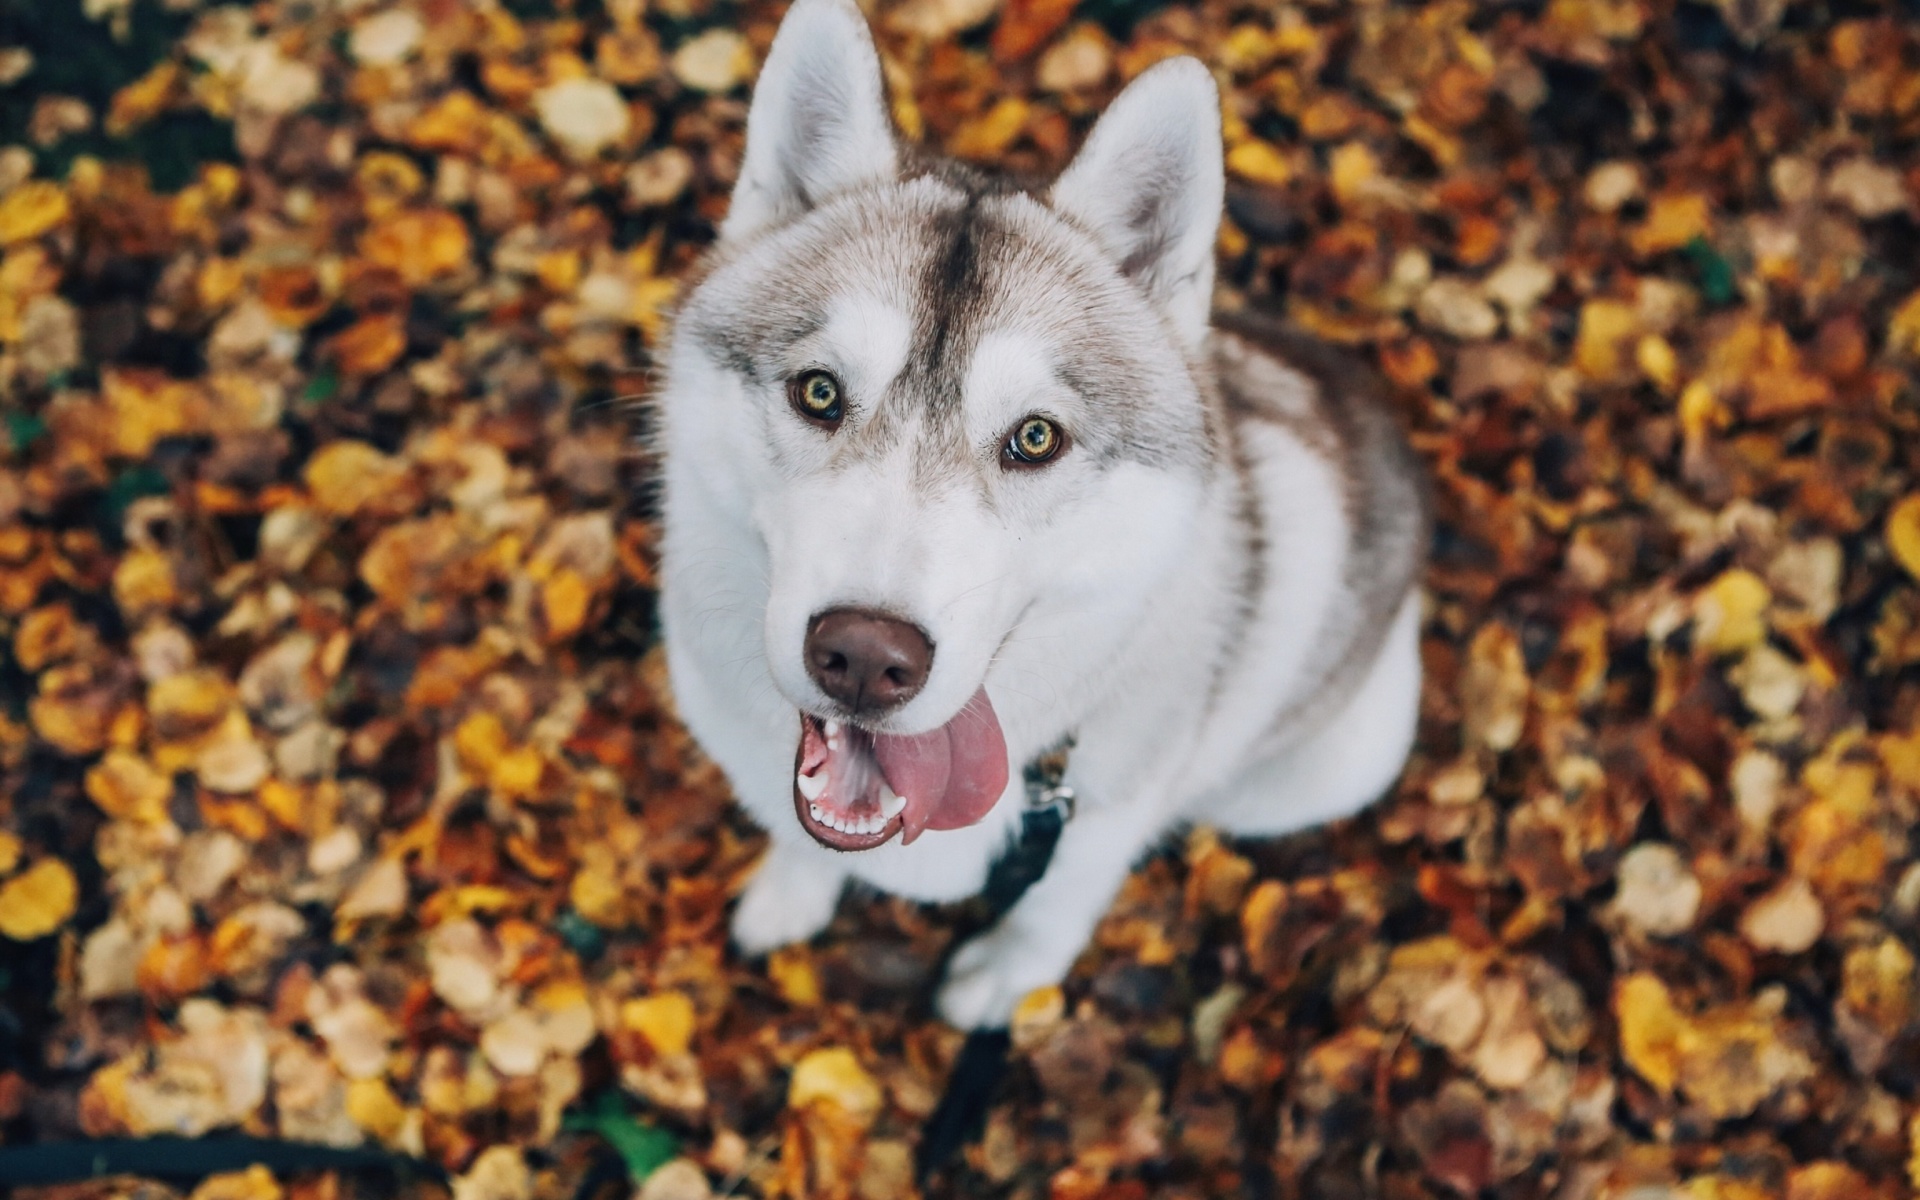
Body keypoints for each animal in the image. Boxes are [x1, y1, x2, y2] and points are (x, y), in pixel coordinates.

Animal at [660, 0, 1428, 1029]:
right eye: (819, 392)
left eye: (1034, 438)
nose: (864, 655)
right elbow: (799, 837)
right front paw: (790, 896)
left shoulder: (1104, 816)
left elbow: (1055, 905)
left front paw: (1004, 978)